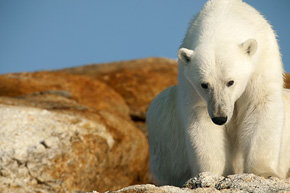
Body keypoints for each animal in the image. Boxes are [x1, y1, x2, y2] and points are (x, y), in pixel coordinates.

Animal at [148, 0, 290, 187]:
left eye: (231, 82)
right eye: (204, 84)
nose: (220, 118)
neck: (223, 17)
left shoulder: (263, 61)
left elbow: (260, 104)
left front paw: (265, 173)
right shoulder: (190, 84)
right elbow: (201, 119)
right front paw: (213, 175)